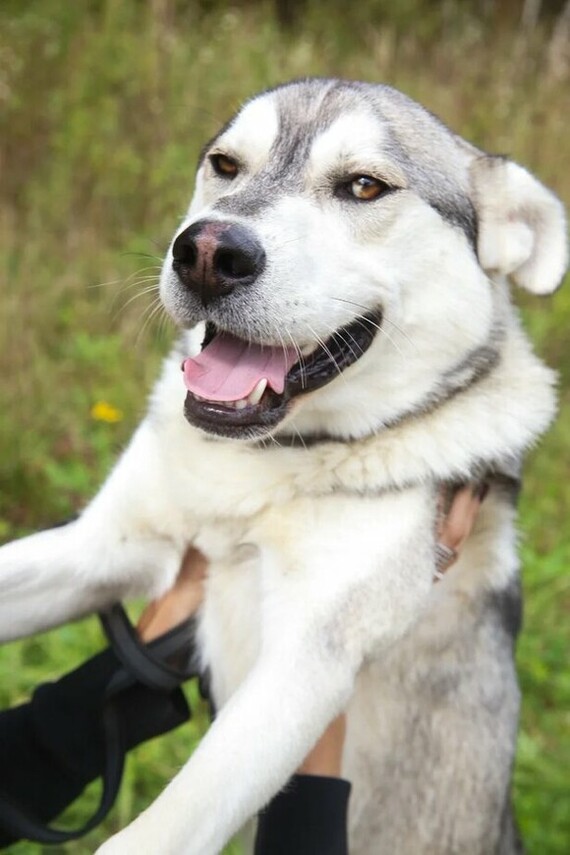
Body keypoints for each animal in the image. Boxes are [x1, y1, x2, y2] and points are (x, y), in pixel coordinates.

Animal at [0, 77, 564, 852]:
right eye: (225, 165)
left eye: (363, 186)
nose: (207, 252)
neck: (262, 472)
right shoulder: (102, 548)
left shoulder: (305, 664)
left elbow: (143, 837)